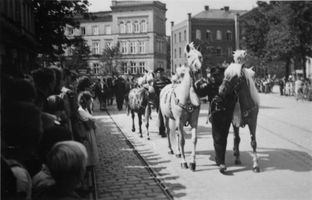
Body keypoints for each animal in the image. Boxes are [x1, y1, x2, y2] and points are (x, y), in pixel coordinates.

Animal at [161, 43, 202, 171]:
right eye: (189, 56)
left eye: (200, 56)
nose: (198, 68)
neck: (187, 96)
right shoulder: (179, 120)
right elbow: (183, 141)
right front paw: (184, 162)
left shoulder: (194, 120)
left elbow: (194, 139)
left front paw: (192, 162)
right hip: (166, 117)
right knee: (168, 131)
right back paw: (171, 149)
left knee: (177, 134)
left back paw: (178, 152)